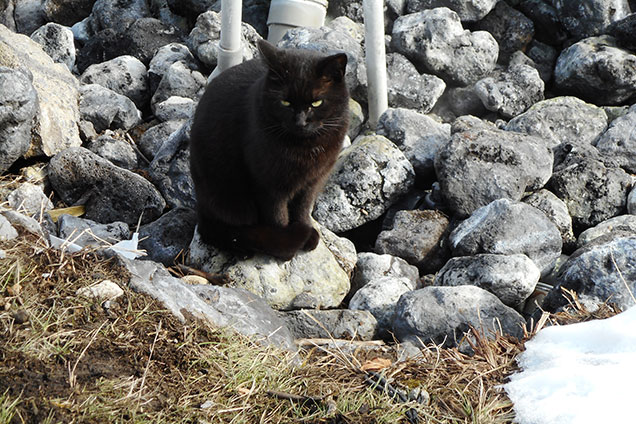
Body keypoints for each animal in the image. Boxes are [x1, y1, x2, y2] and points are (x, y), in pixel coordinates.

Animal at [189, 38, 350, 260]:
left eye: (316, 102)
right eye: (285, 102)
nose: (300, 122)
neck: (304, 149)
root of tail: (200, 208)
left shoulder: (313, 180)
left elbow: (303, 208)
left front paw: (305, 231)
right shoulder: (268, 184)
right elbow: (277, 216)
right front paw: (287, 245)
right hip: (229, 196)